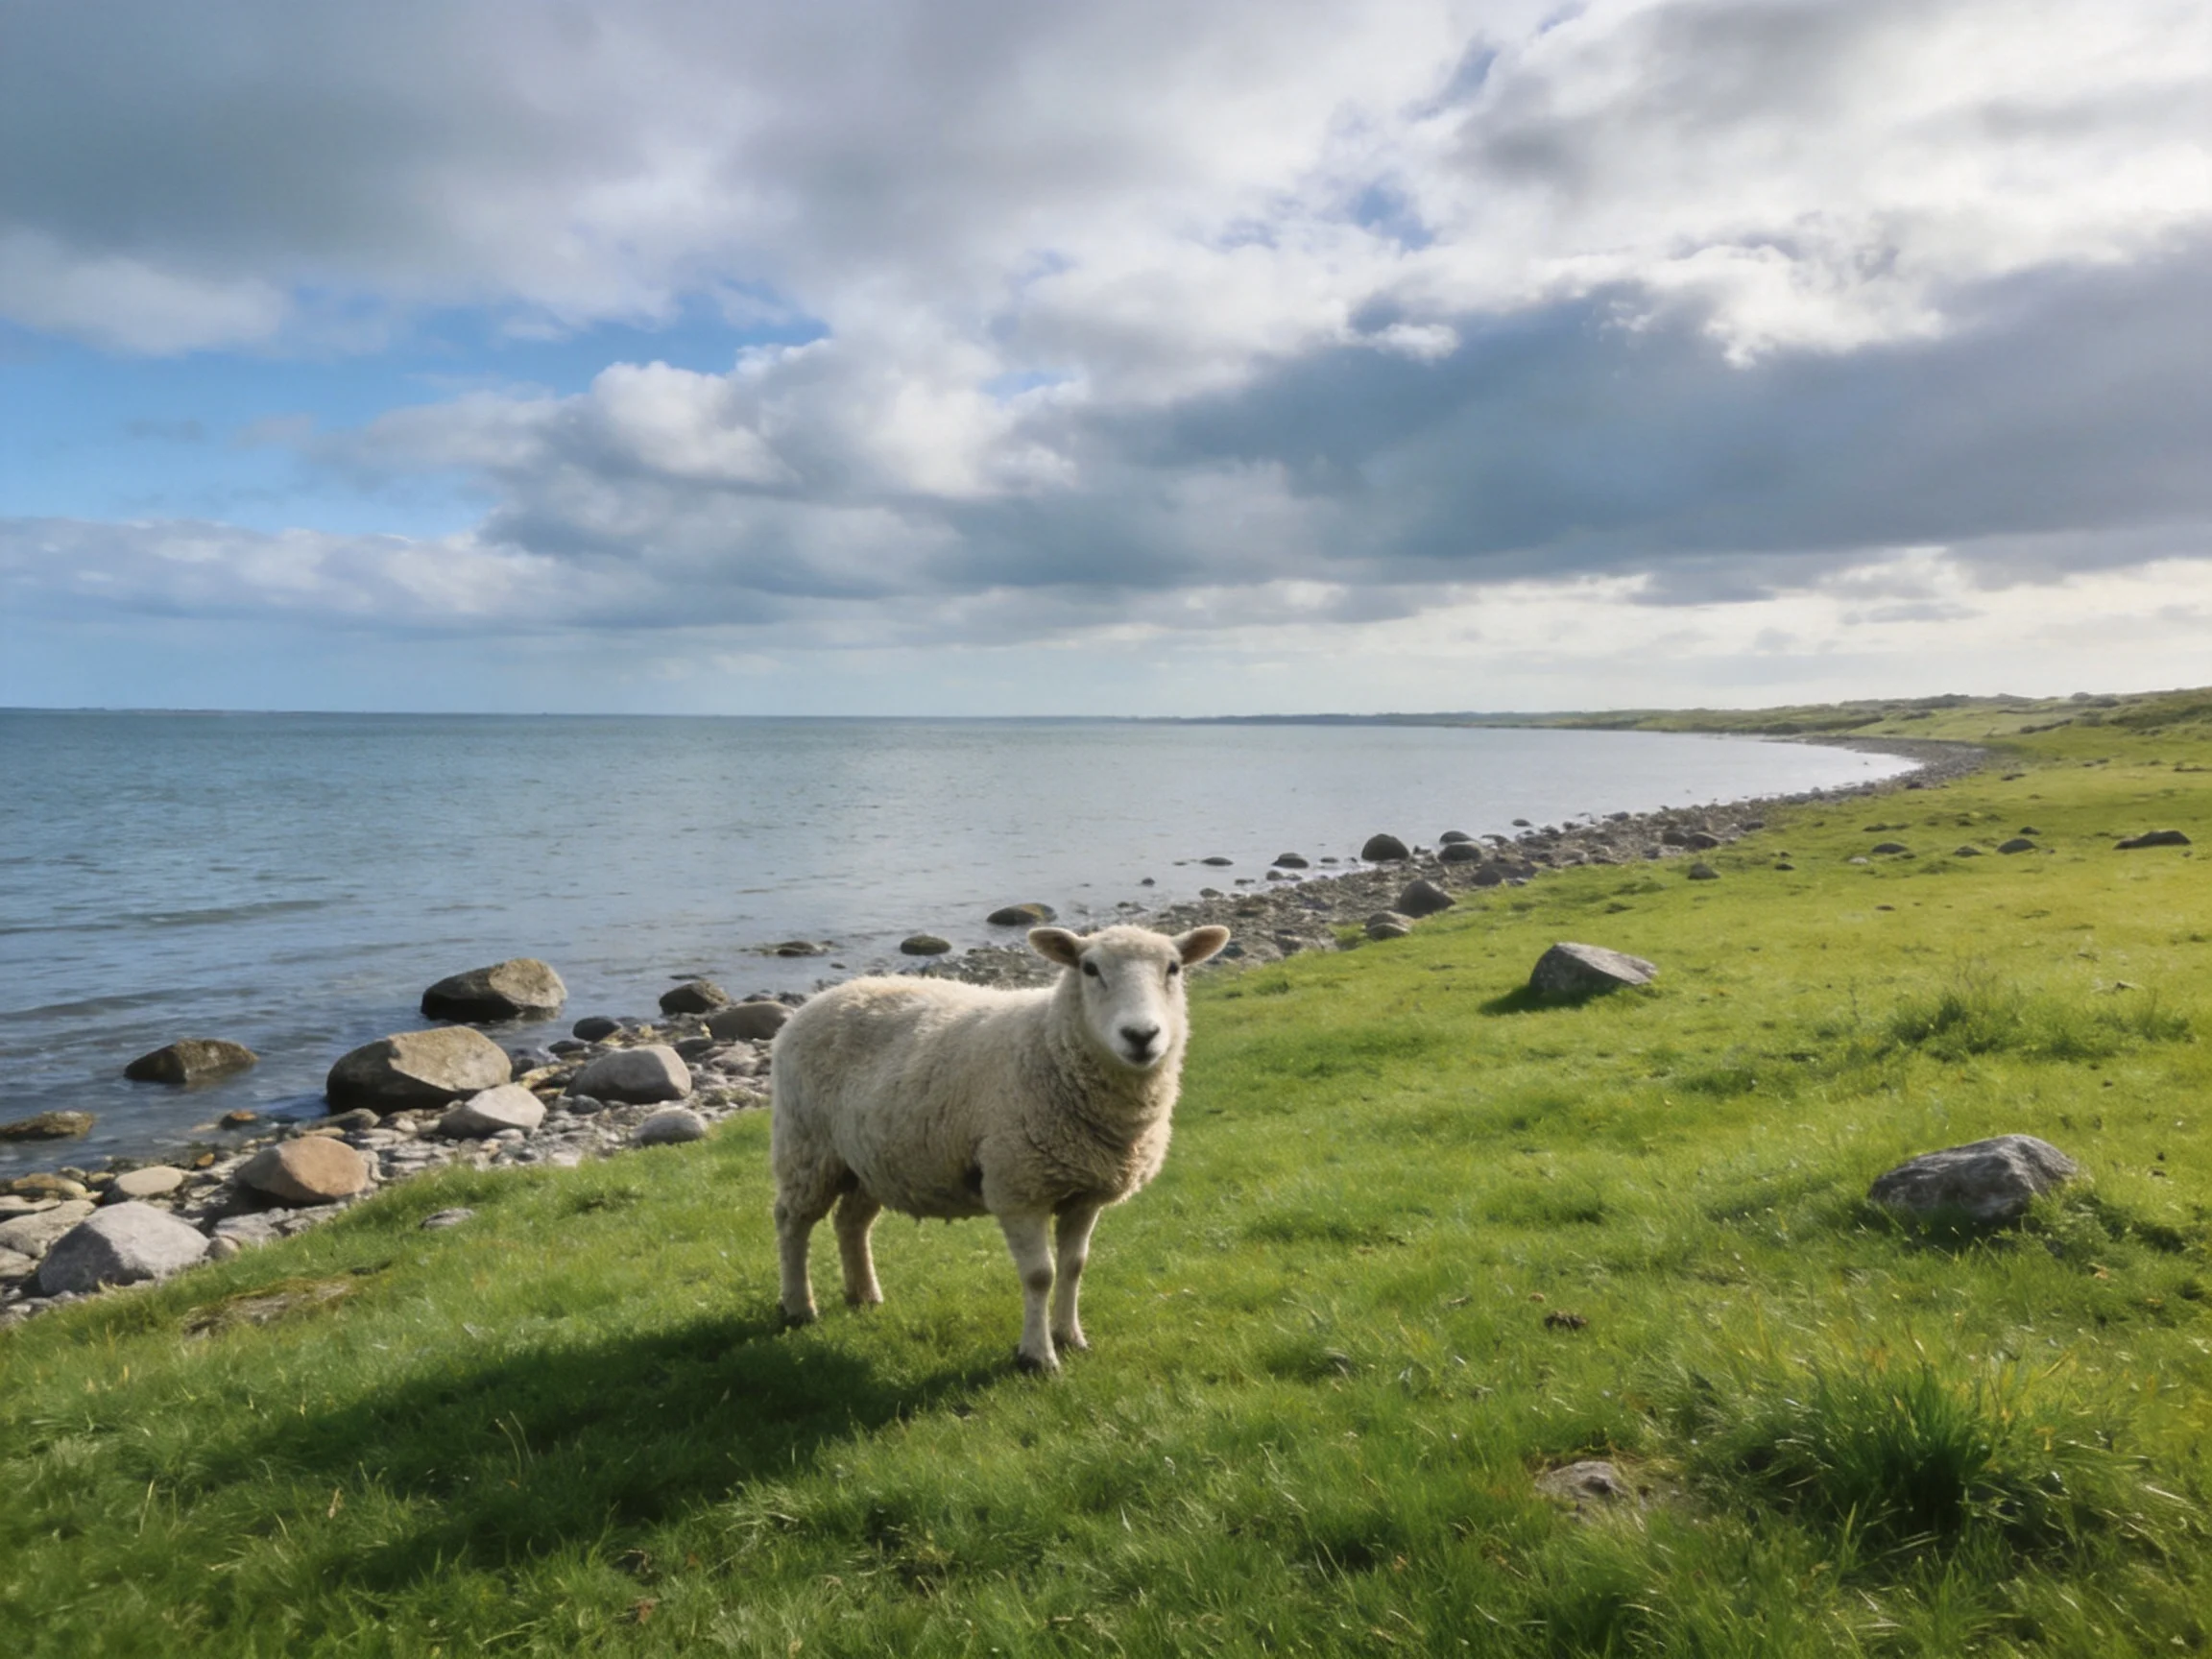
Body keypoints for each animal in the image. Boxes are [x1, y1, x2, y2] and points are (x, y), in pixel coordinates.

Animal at [770, 922, 1231, 1372]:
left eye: (1174, 968)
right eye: (1089, 968)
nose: (1141, 1035)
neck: (1049, 1044)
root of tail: (820, 1000)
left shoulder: (1085, 1192)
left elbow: (1074, 1267)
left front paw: (1071, 1338)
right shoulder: (1017, 1188)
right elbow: (1040, 1275)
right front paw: (1038, 1357)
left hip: (869, 1159)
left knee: (851, 1222)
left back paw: (864, 1296)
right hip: (806, 1146)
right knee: (793, 1221)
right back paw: (798, 1306)